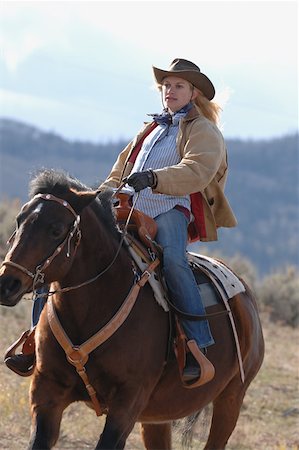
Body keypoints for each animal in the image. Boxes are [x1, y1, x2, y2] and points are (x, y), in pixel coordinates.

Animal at [0, 170, 264, 450]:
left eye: (56, 229)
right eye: (19, 220)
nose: (7, 284)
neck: (92, 309)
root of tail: (246, 297)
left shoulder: (127, 402)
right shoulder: (47, 390)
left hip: (231, 399)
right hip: (157, 417)